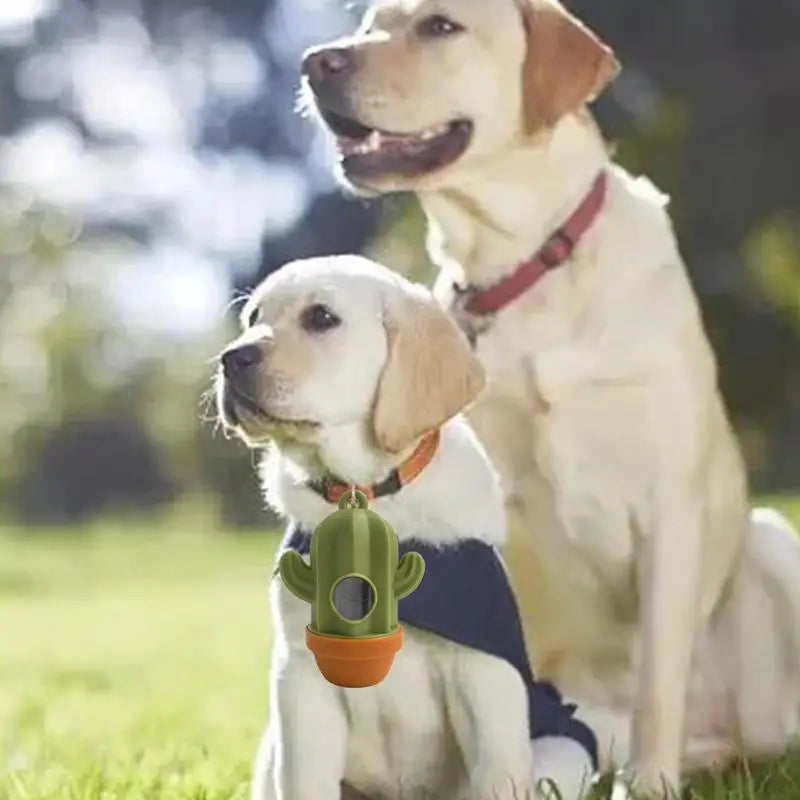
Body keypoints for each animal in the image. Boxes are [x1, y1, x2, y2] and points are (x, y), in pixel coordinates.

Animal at [300, 0, 800, 792]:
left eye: (439, 27)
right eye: (370, 22)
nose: (316, 62)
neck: (526, 264)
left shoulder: (670, 505)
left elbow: (661, 674)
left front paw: (650, 784)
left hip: (774, 544)